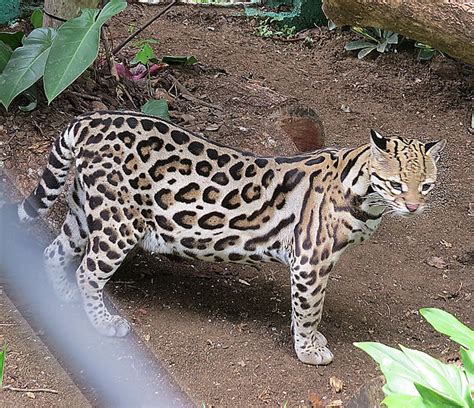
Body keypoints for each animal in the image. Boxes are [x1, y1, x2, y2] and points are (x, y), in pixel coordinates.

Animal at [10, 110, 444, 364]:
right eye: (395, 183)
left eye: (426, 186)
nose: (413, 207)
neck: (366, 196)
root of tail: (90, 120)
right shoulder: (310, 260)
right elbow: (309, 309)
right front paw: (308, 347)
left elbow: (306, 307)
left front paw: (307, 338)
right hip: (120, 224)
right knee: (88, 272)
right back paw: (100, 323)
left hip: (86, 211)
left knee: (54, 250)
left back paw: (63, 299)